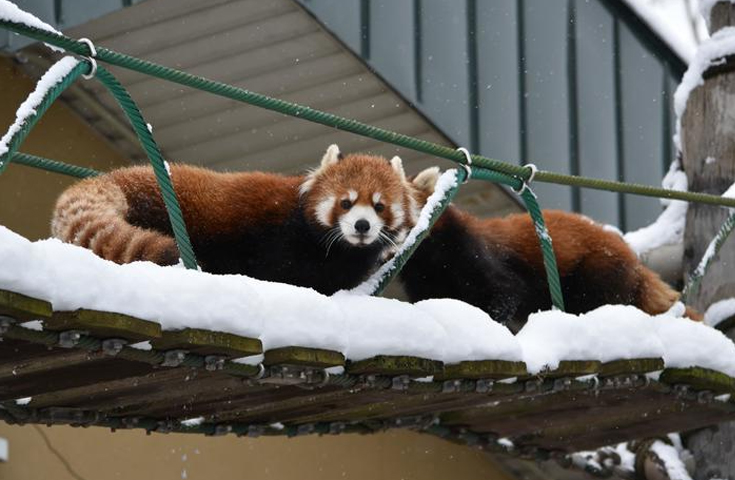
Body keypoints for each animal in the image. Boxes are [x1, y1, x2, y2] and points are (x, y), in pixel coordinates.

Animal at [396, 166, 700, 330]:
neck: (429, 261)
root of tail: (633, 258)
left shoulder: (471, 252)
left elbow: (507, 290)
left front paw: (493, 321)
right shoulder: (422, 281)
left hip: (598, 272)